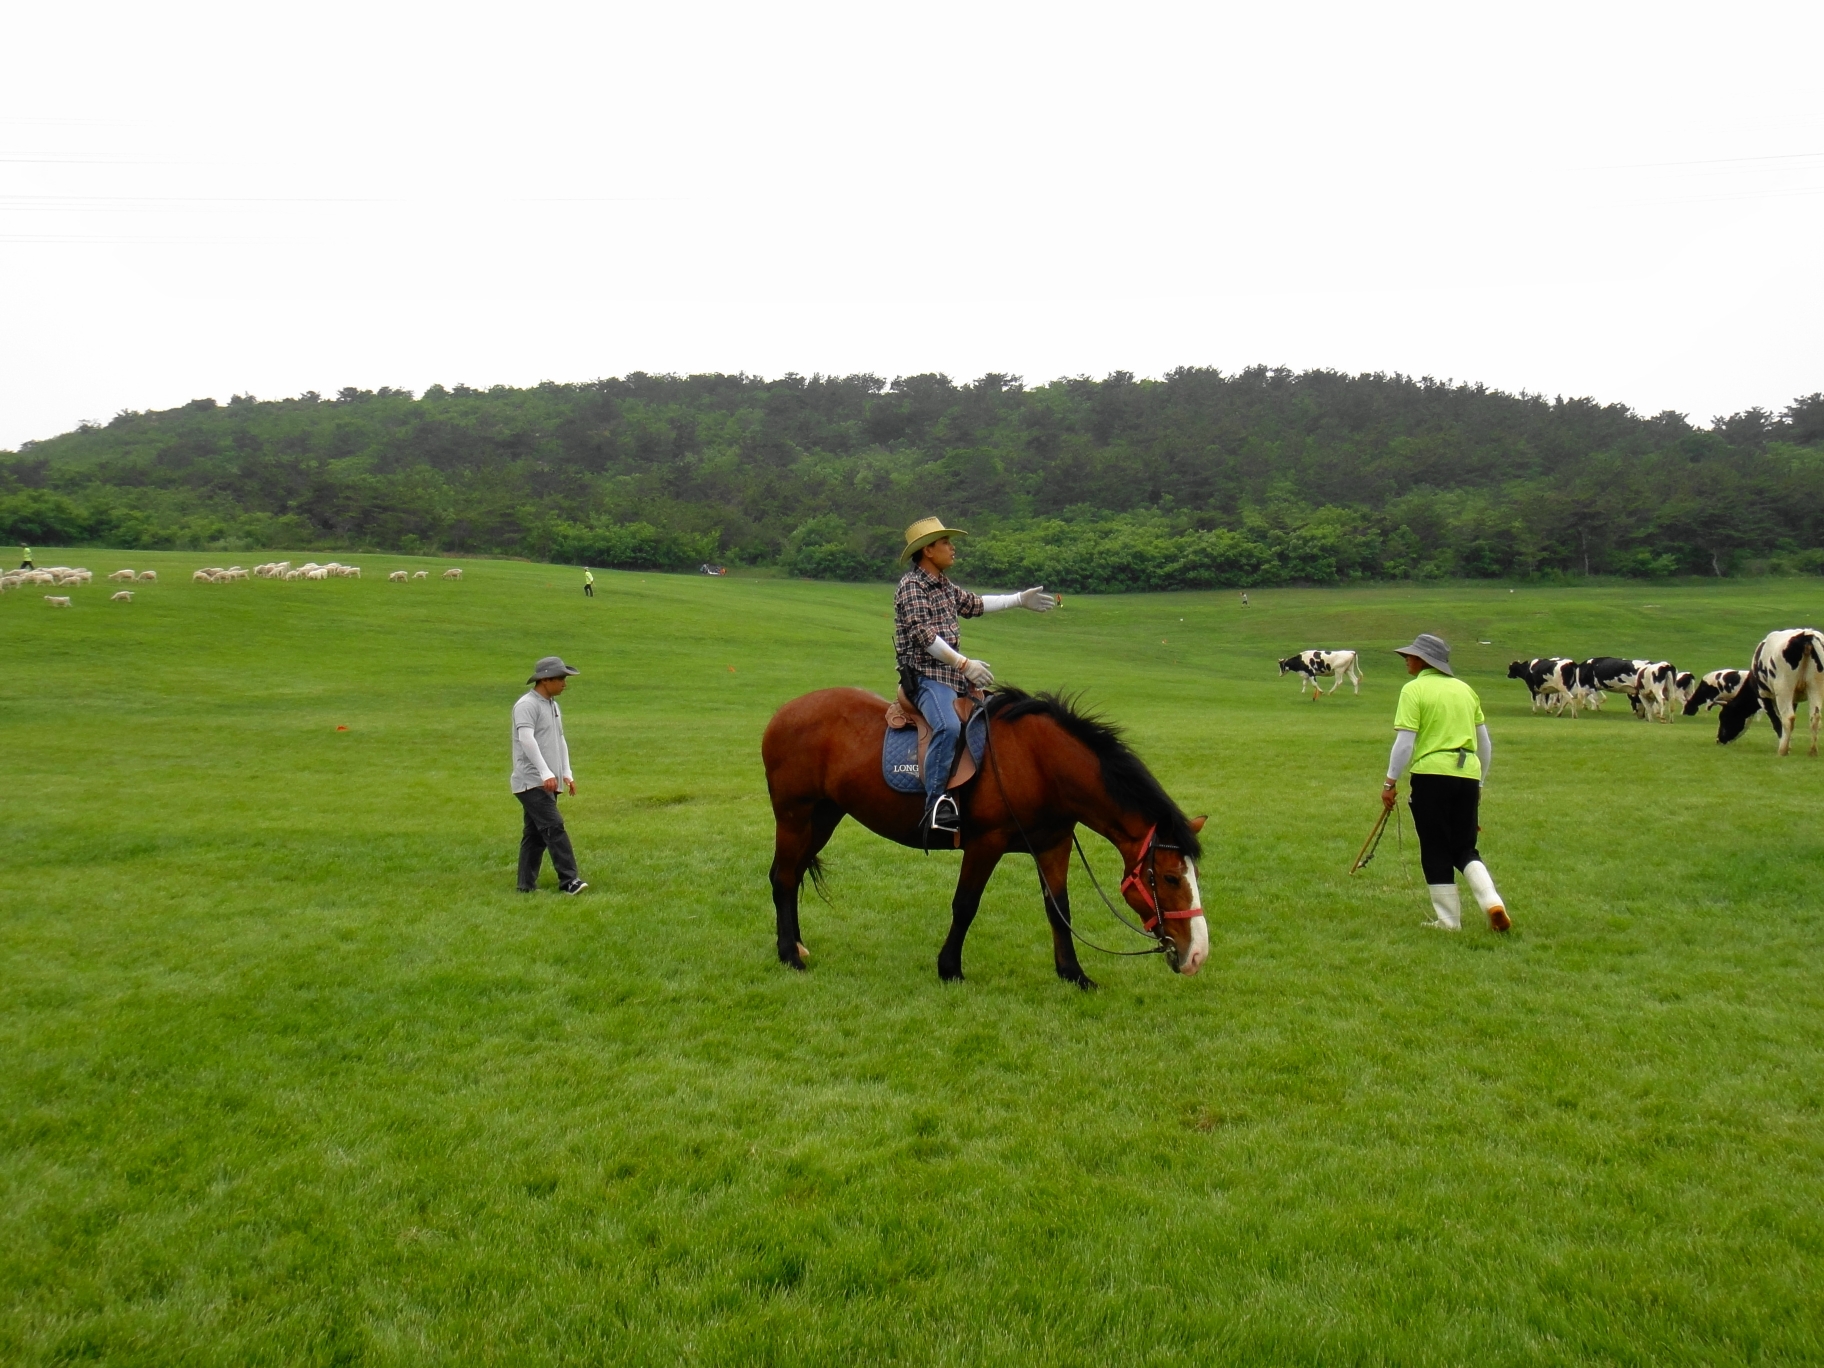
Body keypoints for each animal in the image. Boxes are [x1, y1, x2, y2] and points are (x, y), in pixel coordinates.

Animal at [762, 682, 1203, 984]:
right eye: (1169, 877)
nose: (1197, 954)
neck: (1041, 763)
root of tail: (783, 712)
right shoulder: (985, 843)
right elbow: (965, 905)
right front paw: (949, 968)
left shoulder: (1053, 845)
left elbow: (1059, 909)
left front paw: (1073, 973)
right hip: (794, 815)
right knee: (782, 878)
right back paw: (789, 955)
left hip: (823, 816)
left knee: (793, 875)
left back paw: (796, 944)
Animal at [1714, 631, 1816, 762]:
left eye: (1724, 717)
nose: (1719, 740)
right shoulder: (1791, 699)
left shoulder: (1763, 697)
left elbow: (1777, 722)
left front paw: (1785, 747)